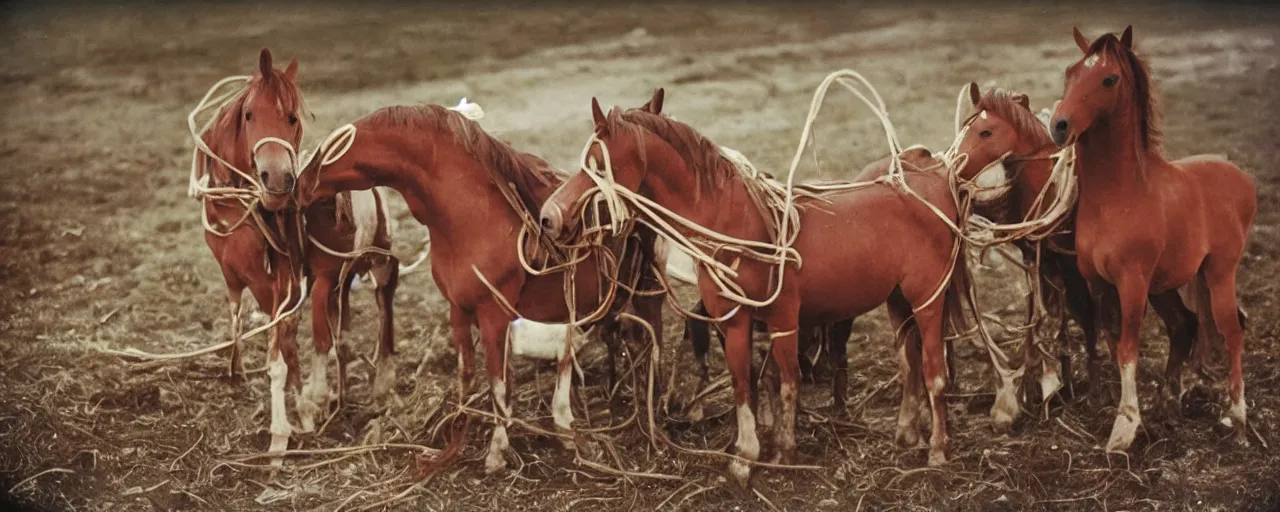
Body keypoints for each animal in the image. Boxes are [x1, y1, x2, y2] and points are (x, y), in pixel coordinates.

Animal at [197, 48, 396, 453]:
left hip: (373, 260)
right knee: (336, 331)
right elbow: (273, 337)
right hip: (336, 276)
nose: (278, 179)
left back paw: (379, 380)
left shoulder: (282, 282)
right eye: (249, 114)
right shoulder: (240, 279)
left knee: (380, 303)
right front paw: (299, 404)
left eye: (292, 117)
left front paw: (288, 424)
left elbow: (283, 346)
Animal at [256, 101, 665, 473]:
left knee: (646, 344)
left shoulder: (494, 314)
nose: (292, 187)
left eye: (329, 150)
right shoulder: (458, 308)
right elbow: (467, 374)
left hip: (645, 295)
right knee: (583, 352)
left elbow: (499, 383)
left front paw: (496, 453)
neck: (469, 214)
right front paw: (454, 439)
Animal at [540, 88, 967, 488]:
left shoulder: (782, 317)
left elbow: (787, 382)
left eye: (597, 166)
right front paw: (753, 454)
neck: (733, 222)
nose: (549, 217)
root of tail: (933, 176)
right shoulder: (733, 320)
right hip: (897, 301)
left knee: (933, 371)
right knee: (909, 364)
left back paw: (938, 449)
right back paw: (907, 434)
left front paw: (775, 453)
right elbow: (745, 384)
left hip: (928, 300)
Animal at [957, 83, 1213, 424]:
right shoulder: (1041, 262)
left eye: (985, 131)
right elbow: (1046, 317)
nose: (953, 163)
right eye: (965, 127)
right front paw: (1042, 389)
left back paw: (1166, 401)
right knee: (1183, 324)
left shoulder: (1077, 271)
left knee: (1182, 323)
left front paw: (1093, 392)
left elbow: (1089, 321)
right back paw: (1166, 403)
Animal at [1049, 27, 1259, 453]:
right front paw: (1129, 412)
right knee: (1185, 325)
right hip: (1166, 284)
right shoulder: (1099, 284)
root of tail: (1242, 178)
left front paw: (1125, 427)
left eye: (1109, 79)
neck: (1121, 194)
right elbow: (1112, 340)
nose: (1059, 126)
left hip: (1218, 274)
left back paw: (1237, 420)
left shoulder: (1132, 283)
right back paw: (1169, 405)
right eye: (1071, 71)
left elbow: (1128, 346)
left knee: (1231, 332)